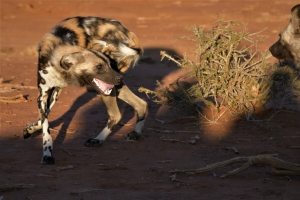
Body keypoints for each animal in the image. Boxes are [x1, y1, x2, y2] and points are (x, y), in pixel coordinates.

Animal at [24, 16, 148, 164]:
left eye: (109, 64)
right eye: (99, 66)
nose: (119, 77)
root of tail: (126, 32)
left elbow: (45, 127)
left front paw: (47, 154)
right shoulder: (47, 93)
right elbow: (44, 120)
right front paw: (31, 130)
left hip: (108, 87)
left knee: (116, 115)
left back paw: (97, 140)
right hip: (111, 86)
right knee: (141, 104)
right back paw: (135, 133)